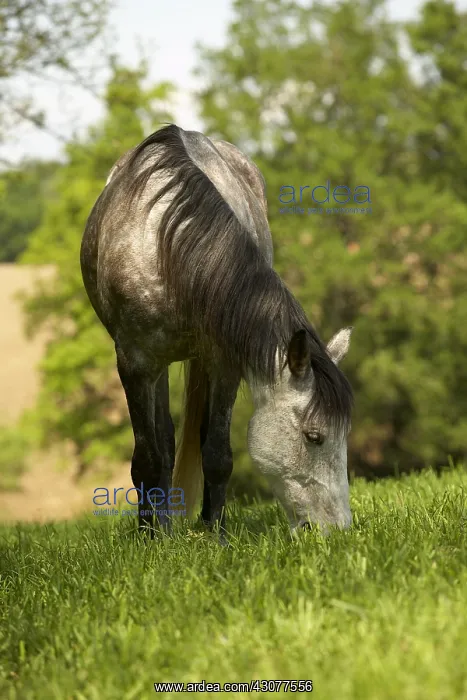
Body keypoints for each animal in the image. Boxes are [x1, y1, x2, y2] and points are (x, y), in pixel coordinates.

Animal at [80, 124, 354, 537]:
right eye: (314, 436)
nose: (339, 531)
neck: (168, 247)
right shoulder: (135, 365)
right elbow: (147, 456)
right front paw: (149, 538)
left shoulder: (225, 364)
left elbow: (217, 453)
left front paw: (216, 534)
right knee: (163, 443)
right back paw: (161, 528)